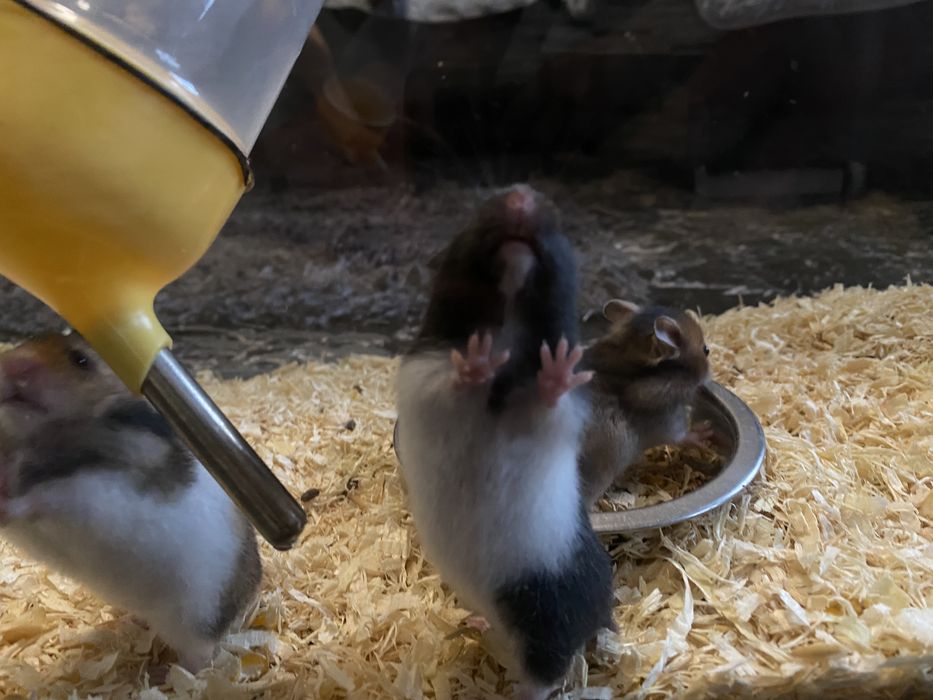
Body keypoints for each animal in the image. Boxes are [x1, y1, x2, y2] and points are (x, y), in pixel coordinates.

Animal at [0, 332, 262, 675]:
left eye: (80, 360)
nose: (8, 362)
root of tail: (249, 598)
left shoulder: (97, 495)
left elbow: (42, 497)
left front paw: (7, 489)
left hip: (193, 618)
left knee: (200, 656)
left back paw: (167, 677)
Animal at [395, 185, 614, 700]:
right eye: (480, 207)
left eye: (557, 218)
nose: (521, 195)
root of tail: (603, 611)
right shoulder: (422, 374)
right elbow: (450, 382)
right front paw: (477, 362)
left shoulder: (557, 418)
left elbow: (544, 404)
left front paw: (555, 372)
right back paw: (476, 625)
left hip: (543, 614)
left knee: (544, 676)